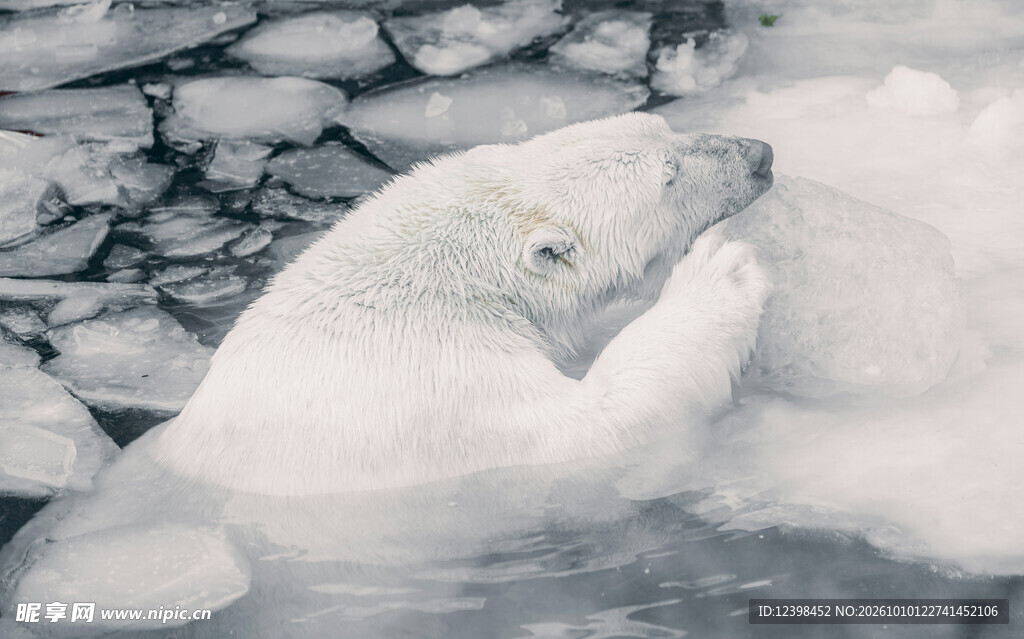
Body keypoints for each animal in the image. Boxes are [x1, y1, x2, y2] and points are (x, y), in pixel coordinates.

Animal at [0, 112, 773, 635]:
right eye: (667, 175)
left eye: (668, 126)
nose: (761, 153)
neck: (434, 282)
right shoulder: (439, 385)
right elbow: (595, 430)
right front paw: (720, 271)